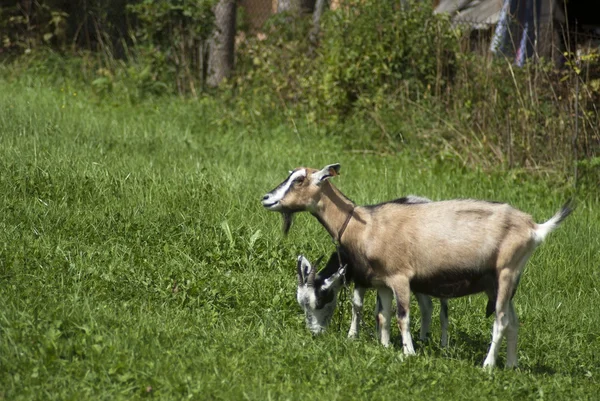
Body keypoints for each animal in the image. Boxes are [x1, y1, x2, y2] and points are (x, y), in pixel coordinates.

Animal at [262, 163, 572, 368]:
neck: (366, 224)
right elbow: (383, 315)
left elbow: (402, 316)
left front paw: (408, 353)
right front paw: (385, 347)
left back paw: (487, 366)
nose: (266, 198)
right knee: (514, 322)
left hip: (506, 272)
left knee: (501, 320)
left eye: (299, 180)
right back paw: (510, 366)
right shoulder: (382, 281)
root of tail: (534, 227)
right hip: (497, 283)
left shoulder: (401, 278)